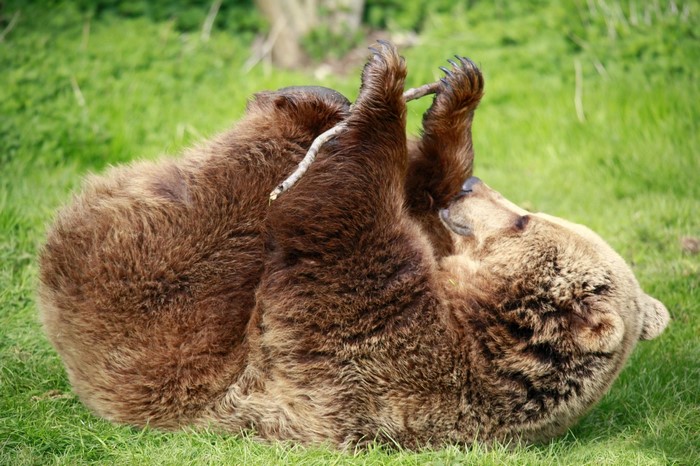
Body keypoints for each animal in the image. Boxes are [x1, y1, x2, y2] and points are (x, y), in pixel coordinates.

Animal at [38, 41, 669, 449]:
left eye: (523, 220)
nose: (472, 188)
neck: (476, 319)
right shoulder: (432, 263)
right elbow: (415, 198)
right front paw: (456, 93)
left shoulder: (378, 355)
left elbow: (340, 224)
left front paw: (385, 84)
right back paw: (316, 97)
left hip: (156, 316)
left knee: (225, 206)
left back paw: (304, 105)